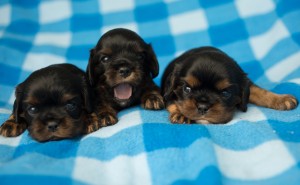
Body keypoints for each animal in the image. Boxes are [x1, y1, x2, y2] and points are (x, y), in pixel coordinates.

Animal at [162, 46, 298, 124]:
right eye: (187, 89)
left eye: (225, 93)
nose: (202, 107)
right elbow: (173, 103)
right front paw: (181, 114)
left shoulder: (245, 82)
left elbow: (259, 91)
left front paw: (282, 99)